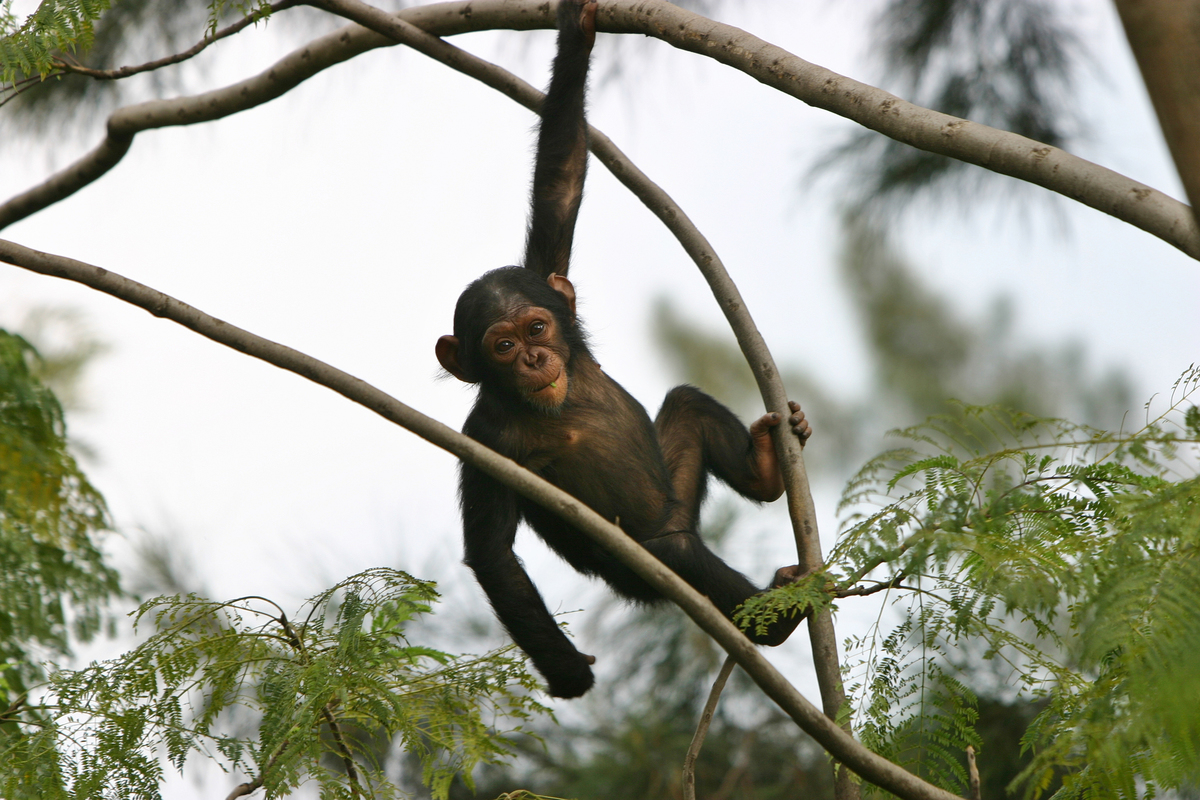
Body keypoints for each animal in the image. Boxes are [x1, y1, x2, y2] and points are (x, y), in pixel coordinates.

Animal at [436, 0, 811, 700]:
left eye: (536, 329)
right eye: (501, 346)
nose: (533, 360)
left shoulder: (544, 273)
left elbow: (561, 179)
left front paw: (577, 34)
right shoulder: (485, 439)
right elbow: (495, 556)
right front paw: (566, 671)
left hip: (676, 489)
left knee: (687, 406)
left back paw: (767, 465)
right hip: (647, 563)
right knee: (677, 555)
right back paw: (774, 619)